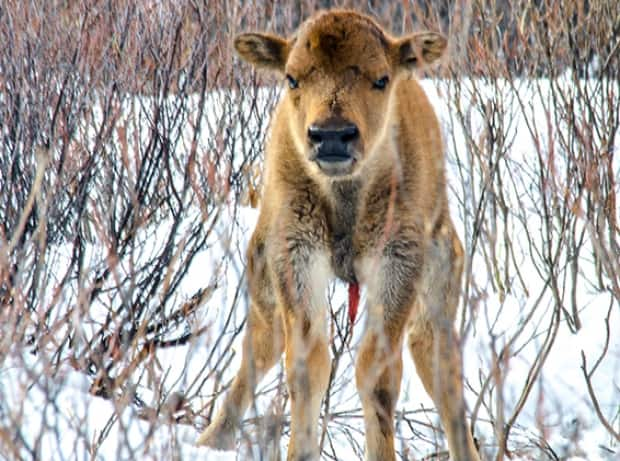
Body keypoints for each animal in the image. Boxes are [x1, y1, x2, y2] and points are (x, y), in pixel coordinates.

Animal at [197, 8, 480, 460]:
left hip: (438, 284)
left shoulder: (398, 262)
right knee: (259, 347)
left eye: (381, 78)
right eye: (292, 78)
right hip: (264, 284)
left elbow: (377, 374)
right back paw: (213, 439)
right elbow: (308, 366)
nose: (331, 135)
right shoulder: (294, 256)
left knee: (441, 367)